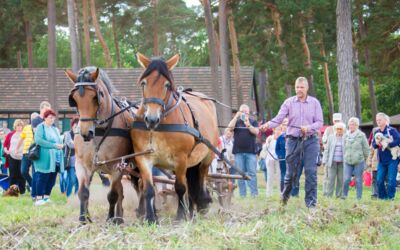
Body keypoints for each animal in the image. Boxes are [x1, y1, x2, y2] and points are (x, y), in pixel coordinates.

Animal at [65, 67, 138, 225]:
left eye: (95, 96)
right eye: (74, 99)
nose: (86, 133)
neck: (99, 132)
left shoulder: (116, 166)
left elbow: (112, 195)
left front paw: (110, 218)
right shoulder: (82, 165)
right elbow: (83, 192)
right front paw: (83, 219)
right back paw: (119, 216)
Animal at [130, 53, 219, 223]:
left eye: (166, 85)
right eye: (144, 83)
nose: (151, 119)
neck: (159, 128)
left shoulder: (181, 159)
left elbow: (180, 187)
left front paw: (180, 215)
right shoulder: (143, 158)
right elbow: (148, 189)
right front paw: (150, 218)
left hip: (207, 156)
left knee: (201, 178)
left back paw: (201, 205)